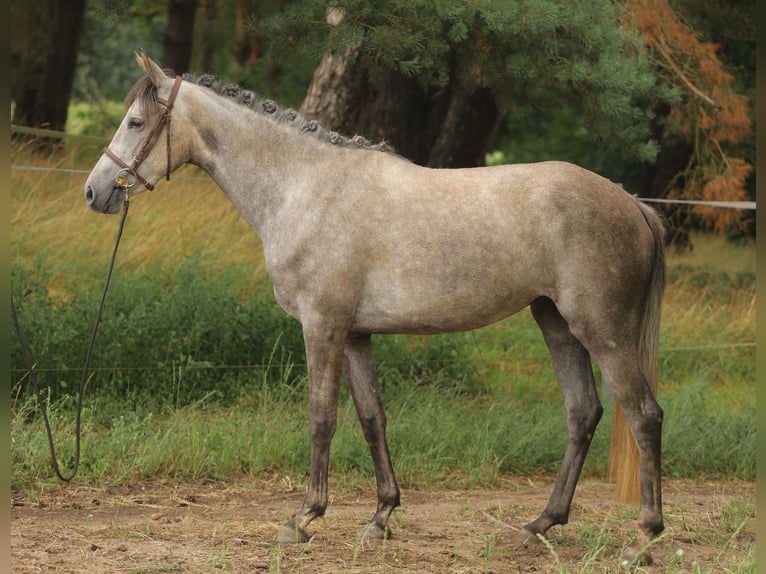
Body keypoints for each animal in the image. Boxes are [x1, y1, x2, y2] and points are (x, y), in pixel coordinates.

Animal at [84, 51, 664, 564]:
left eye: (136, 121)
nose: (94, 192)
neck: (305, 187)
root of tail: (632, 203)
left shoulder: (322, 326)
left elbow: (321, 417)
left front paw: (303, 519)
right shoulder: (355, 334)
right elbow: (371, 418)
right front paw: (381, 517)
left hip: (602, 330)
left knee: (643, 415)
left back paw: (643, 539)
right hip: (556, 322)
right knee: (582, 413)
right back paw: (542, 523)